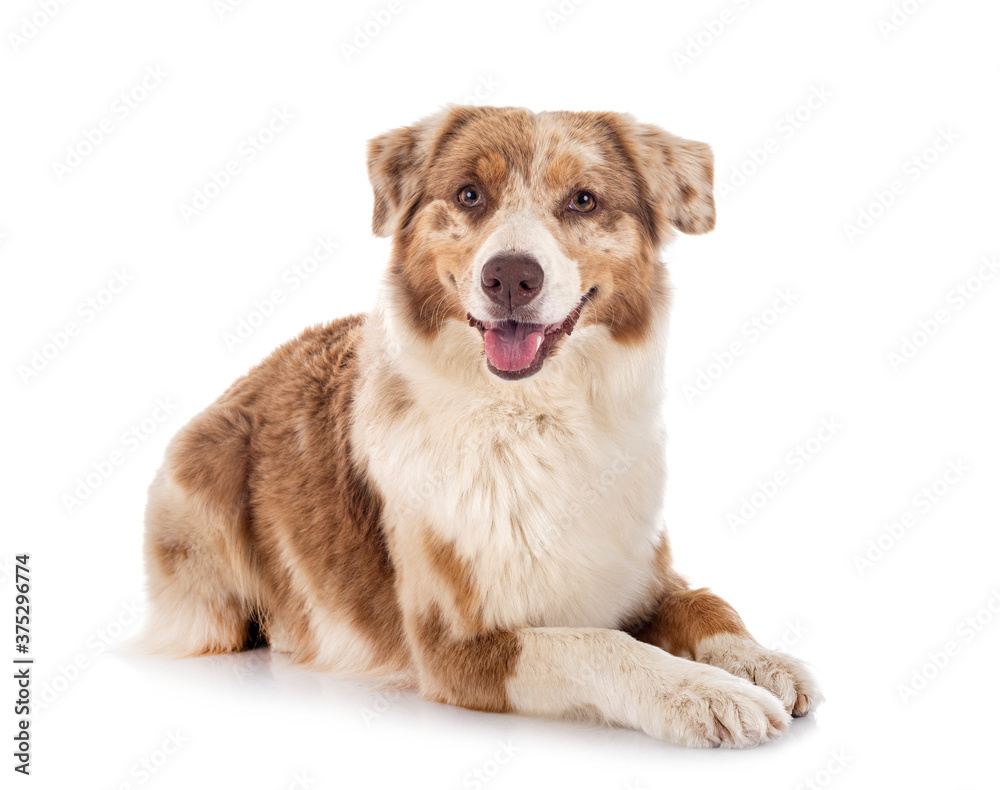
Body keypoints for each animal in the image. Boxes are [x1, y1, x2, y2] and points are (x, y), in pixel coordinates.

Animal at [143, 105, 828, 748]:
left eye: (584, 199)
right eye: (470, 194)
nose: (511, 277)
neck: (533, 419)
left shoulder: (641, 572)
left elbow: (709, 603)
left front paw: (763, 662)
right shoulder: (457, 645)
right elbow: (599, 644)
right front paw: (706, 693)